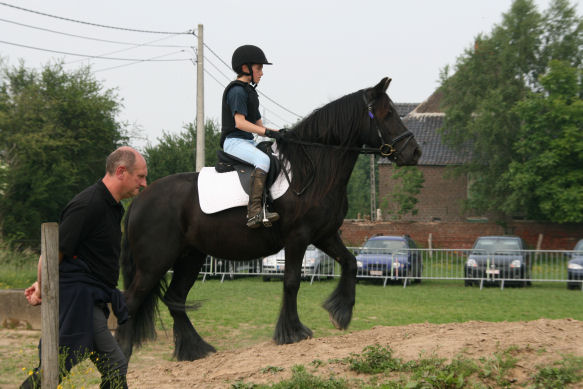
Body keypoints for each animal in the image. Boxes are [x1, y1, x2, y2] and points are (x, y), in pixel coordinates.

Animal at [117, 76, 420, 360]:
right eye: (387, 114)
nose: (414, 152)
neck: (312, 171)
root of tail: (140, 199)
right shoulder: (298, 237)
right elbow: (292, 282)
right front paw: (292, 332)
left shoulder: (324, 234)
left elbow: (350, 263)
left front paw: (340, 313)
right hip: (155, 262)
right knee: (131, 301)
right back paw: (123, 355)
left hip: (190, 256)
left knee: (175, 298)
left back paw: (195, 350)